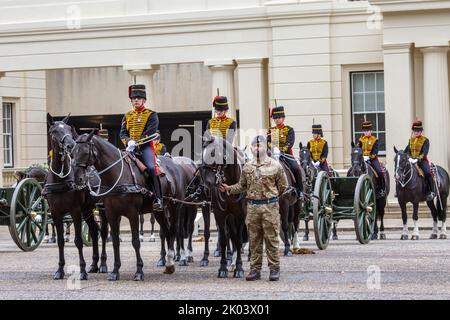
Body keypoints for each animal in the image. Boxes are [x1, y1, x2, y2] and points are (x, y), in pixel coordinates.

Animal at [45, 115, 108, 280]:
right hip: (87, 210)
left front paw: (82, 270)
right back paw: (94, 265)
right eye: (54, 131)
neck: (61, 179)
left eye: (68, 129)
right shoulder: (55, 213)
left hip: (102, 208)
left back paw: (103, 264)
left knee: (103, 232)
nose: (70, 145)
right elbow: (60, 241)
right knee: (94, 231)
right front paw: (60, 270)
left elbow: (78, 240)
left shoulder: (75, 211)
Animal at [72, 131, 185, 278]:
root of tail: (175, 165)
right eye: (72, 152)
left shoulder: (133, 214)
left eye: (85, 152)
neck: (117, 175)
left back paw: (171, 261)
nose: (78, 179)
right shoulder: (111, 213)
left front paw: (139, 271)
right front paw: (115, 271)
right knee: (166, 230)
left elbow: (135, 241)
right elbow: (114, 241)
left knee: (173, 230)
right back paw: (168, 263)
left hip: (174, 207)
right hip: (159, 211)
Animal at [199, 135, 246, 278]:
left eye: (213, 153)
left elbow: (239, 239)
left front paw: (239, 268)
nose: (206, 186)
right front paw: (223, 267)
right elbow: (225, 239)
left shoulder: (241, 215)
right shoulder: (220, 214)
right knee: (232, 234)